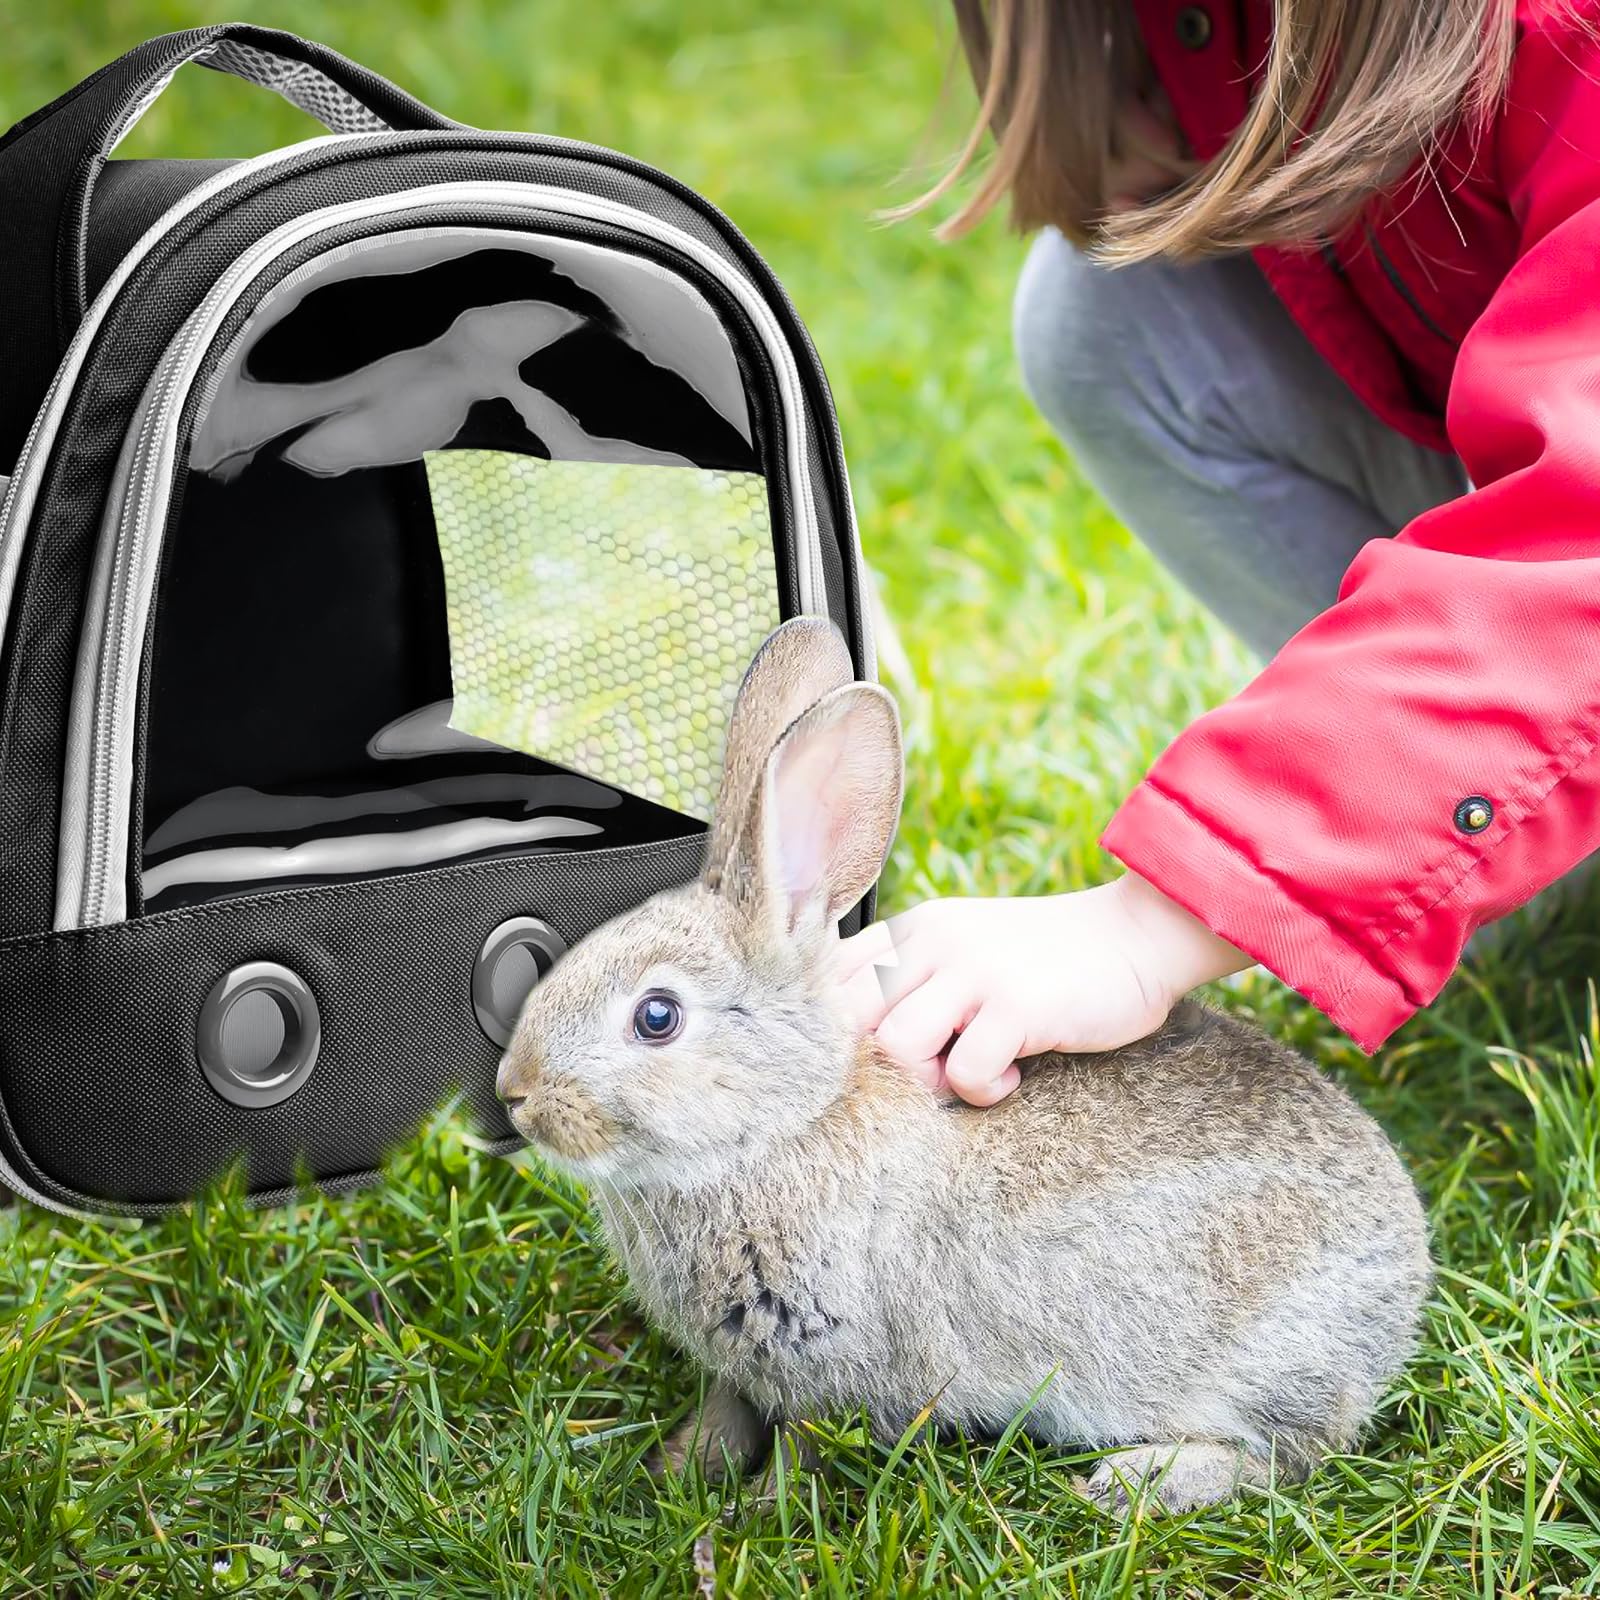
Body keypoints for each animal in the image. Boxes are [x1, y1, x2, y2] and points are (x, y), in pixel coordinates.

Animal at [496, 617, 1432, 1514]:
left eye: (657, 1017)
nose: (517, 1097)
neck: (782, 1125)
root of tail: (1405, 1267)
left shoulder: (841, 1368)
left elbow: (805, 1447)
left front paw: (752, 1517)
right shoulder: (746, 1365)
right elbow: (727, 1411)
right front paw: (679, 1472)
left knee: (1293, 1454)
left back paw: (1142, 1482)